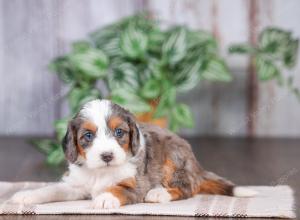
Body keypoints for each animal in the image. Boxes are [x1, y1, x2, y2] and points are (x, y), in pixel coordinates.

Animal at [11, 99, 255, 208]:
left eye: (119, 132)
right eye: (88, 136)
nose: (107, 156)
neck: (100, 172)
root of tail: (197, 166)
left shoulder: (137, 183)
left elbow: (118, 189)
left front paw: (104, 197)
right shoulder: (76, 185)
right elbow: (53, 189)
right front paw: (27, 196)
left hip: (174, 159)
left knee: (188, 188)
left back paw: (159, 194)